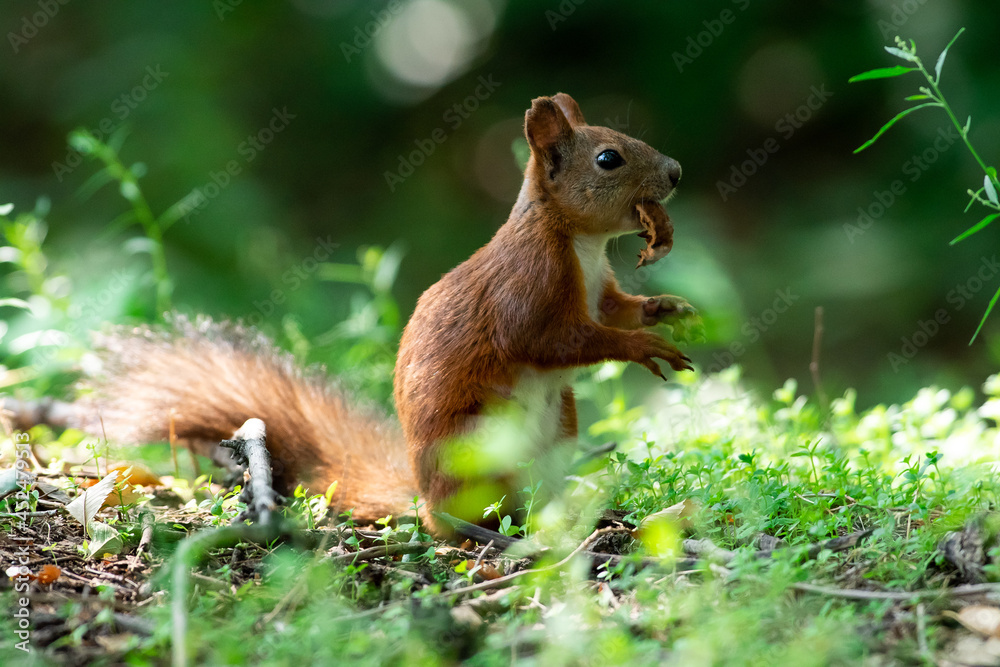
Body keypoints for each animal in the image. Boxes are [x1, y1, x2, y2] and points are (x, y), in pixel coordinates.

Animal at [7, 93, 695, 536]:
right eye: (608, 159)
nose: (676, 171)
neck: (579, 245)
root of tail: (417, 486)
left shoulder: (599, 289)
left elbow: (616, 311)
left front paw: (664, 310)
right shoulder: (526, 293)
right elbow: (558, 342)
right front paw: (644, 349)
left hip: (556, 433)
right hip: (470, 449)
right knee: (445, 522)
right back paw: (491, 536)